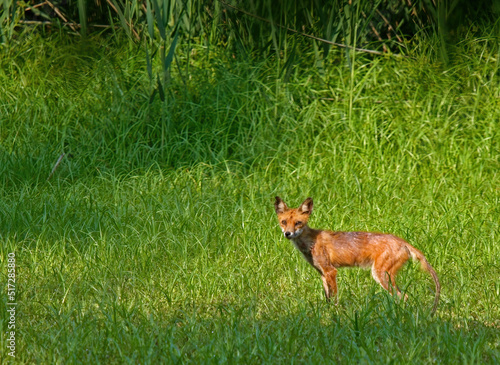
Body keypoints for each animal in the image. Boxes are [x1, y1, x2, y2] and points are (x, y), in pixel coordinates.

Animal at [274, 195, 442, 312]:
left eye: (298, 223)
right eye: (284, 222)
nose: (287, 234)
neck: (310, 242)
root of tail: (402, 241)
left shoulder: (331, 272)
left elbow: (335, 299)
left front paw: (335, 315)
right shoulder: (322, 274)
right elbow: (327, 298)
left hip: (380, 275)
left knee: (403, 296)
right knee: (402, 296)